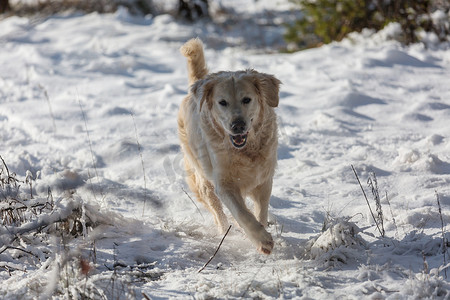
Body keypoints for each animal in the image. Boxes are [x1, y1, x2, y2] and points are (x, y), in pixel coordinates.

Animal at [178, 37, 280, 253]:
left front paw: (262, 231)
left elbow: (260, 211)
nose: (237, 125)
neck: (245, 151)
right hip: (203, 179)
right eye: (222, 102)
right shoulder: (224, 183)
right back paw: (225, 231)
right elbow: (242, 213)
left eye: (247, 99)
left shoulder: (264, 179)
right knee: (217, 212)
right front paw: (262, 240)